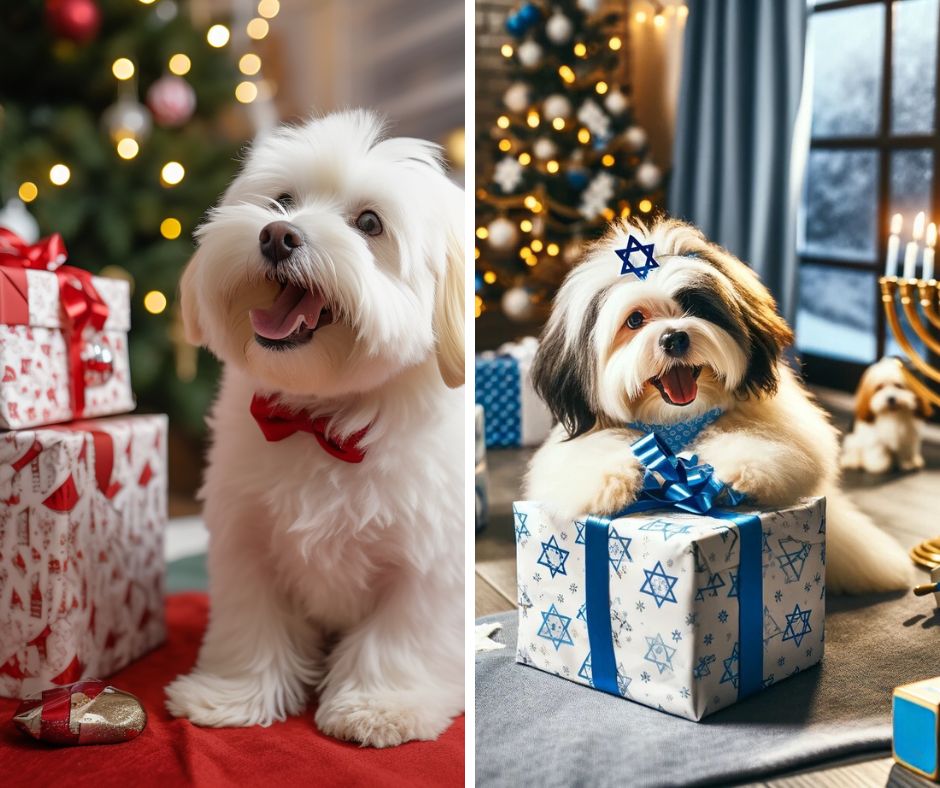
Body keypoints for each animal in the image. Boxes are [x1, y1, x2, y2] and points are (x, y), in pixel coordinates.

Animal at [168, 109, 466, 744]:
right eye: (283, 201)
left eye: (370, 223)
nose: (278, 235)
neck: (320, 420)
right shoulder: (244, 540)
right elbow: (251, 623)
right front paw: (231, 695)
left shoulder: (429, 564)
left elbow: (399, 637)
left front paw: (381, 706)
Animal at [528, 219, 916, 596]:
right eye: (635, 320)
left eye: (694, 305)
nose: (674, 337)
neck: (675, 420)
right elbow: (588, 456)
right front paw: (610, 479)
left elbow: (762, 444)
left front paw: (741, 468)